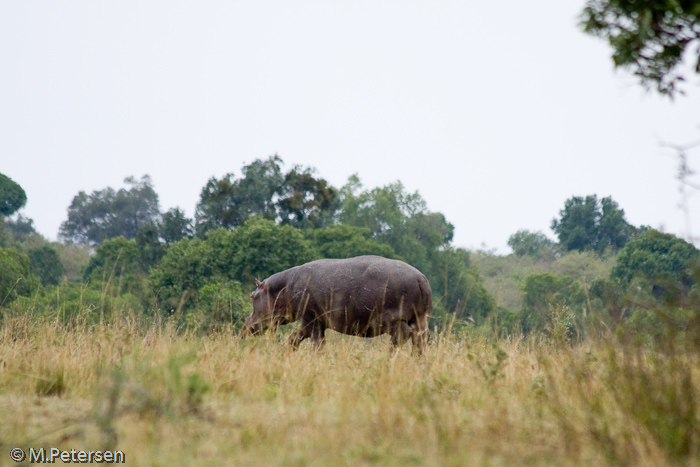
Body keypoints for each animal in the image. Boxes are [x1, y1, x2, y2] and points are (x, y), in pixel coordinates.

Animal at [246, 256, 432, 354]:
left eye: (252, 296)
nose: (247, 325)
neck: (282, 288)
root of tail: (421, 279)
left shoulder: (312, 320)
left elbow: (317, 343)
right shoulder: (308, 322)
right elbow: (293, 339)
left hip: (390, 319)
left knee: (403, 334)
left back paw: (388, 354)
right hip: (420, 318)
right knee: (421, 338)